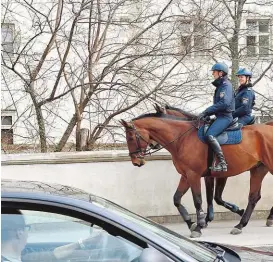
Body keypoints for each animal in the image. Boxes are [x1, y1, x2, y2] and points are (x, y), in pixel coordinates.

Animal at [120, 112, 272, 237]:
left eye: (131, 138)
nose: (136, 161)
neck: (181, 138)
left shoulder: (194, 175)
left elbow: (198, 200)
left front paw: (199, 226)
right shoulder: (186, 176)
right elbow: (177, 199)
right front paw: (191, 223)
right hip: (258, 170)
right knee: (253, 197)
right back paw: (241, 224)